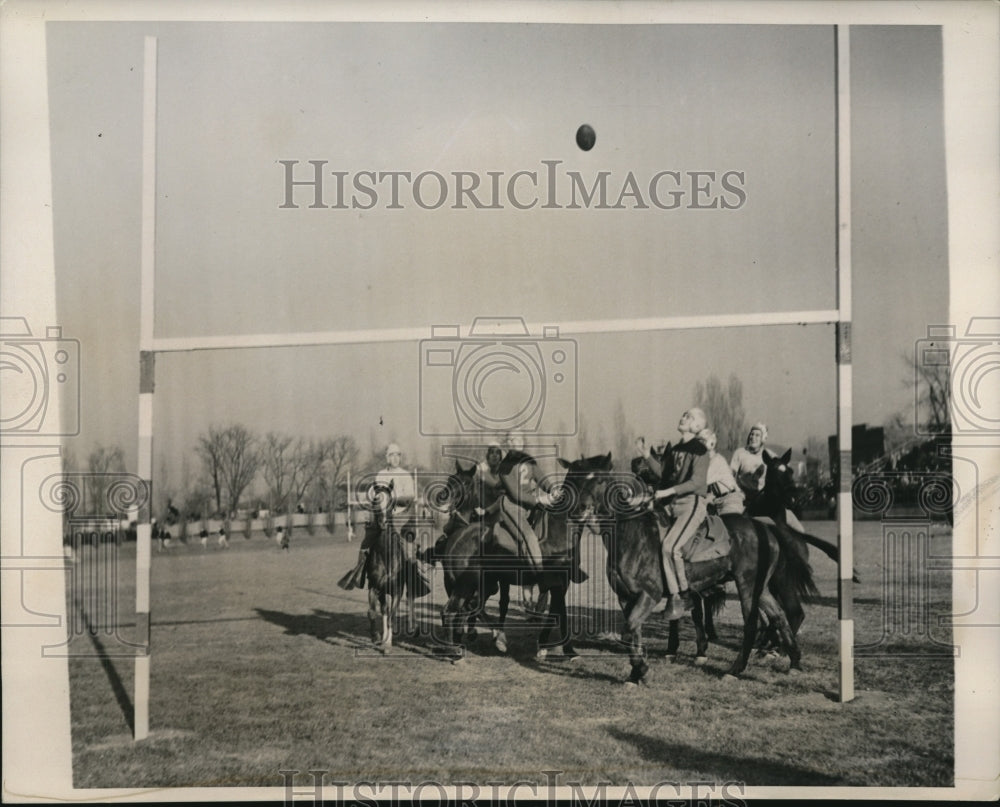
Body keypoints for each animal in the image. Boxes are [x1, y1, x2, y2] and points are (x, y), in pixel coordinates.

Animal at [572, 454, 812, 680]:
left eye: (600, 480)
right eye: (577, 480)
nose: (580, 509)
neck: (632, 535)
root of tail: (765, 528)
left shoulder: (648, 595)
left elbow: (629, 632)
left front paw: (642, 669)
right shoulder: (626, 598)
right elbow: (633, 634)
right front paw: (636, 673)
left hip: (748, 585)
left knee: (754, 624)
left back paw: (735, 669)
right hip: (761, 588)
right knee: (779, 616)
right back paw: (794, 662)